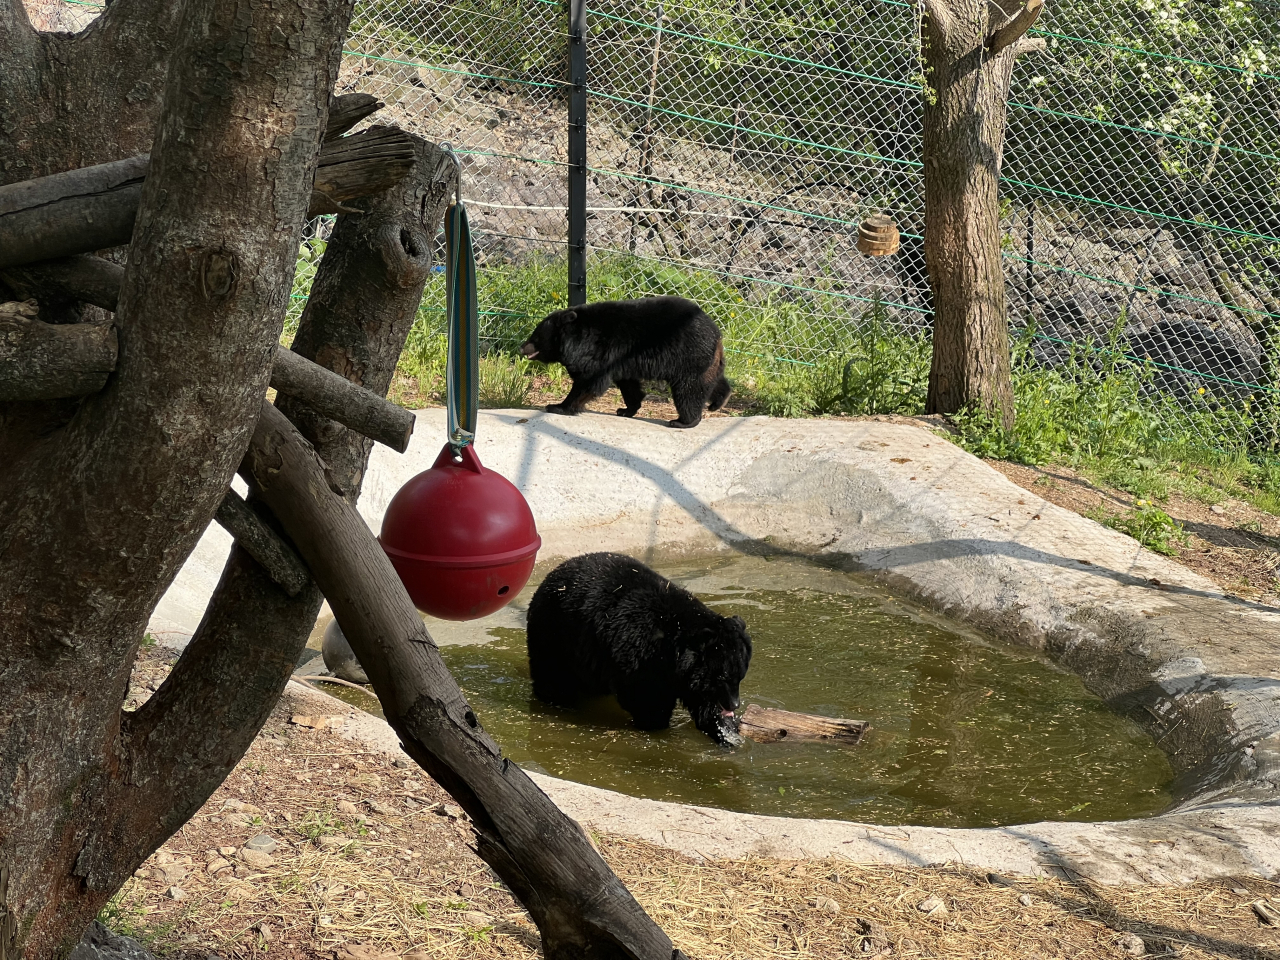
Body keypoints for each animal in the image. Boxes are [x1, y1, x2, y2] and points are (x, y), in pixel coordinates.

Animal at [512, 293, 732, 427]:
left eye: (536, 337)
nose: (521, 347)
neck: (578, 338)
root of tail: (717, 335)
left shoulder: (599, 350)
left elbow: (589, 381)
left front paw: (559, 406)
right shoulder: (622, 359)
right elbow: (628, 385)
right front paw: (626, 409)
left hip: (687, 357)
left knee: (689, 390)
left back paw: (684, 421)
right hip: (707, 361)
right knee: (712, 381)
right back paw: (718, 402)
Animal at [524, 552, 752, 747]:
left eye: (740, 676)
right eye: (722, 676)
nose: (734, 705)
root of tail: (550, 576)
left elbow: (702, 700)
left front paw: (727, 733)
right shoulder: (639, 653)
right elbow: (645, 697)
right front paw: (656, 723)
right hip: (555, 634)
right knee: (553, 673)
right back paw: (558, 698)